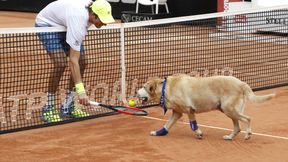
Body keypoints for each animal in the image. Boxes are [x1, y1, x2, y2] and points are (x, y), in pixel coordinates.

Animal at [137, 75, 274, 140]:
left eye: (144, 87)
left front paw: (199, 134)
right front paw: (158, 133)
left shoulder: (189, 110)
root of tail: (241, 83)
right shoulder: (177, 113)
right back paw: (230, 137)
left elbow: (193, 125)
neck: (165, 88)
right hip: (229, 110)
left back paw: (248, 134)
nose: (136, 93)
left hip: (229, 109)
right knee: (238, 127)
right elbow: (167, 125)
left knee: (247, 118)